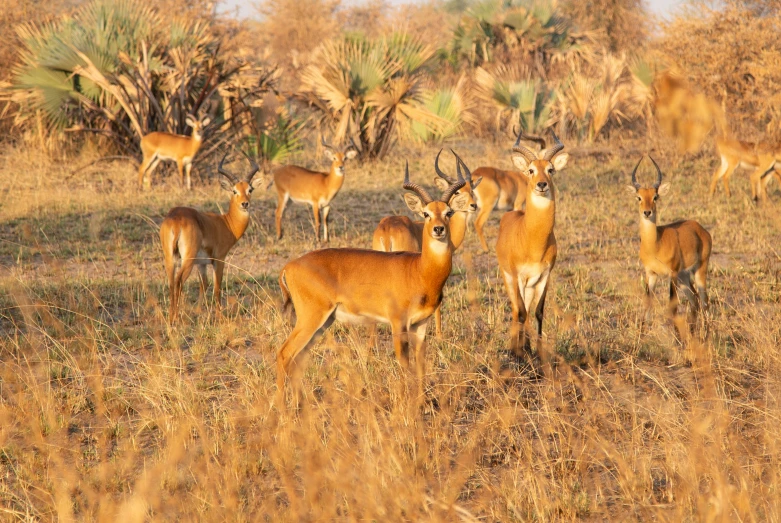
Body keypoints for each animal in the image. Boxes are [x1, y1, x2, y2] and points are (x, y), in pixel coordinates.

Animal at [159, 150, 262, 324]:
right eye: (234, 191)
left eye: (250, 189)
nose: (245, 204)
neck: (226, 223)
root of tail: (176, 219)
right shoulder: (219, 259)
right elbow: (217, 287)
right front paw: (220, 316)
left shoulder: (202, 263)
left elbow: (204, 284)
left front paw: (199, 311)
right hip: (187, 259)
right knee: (179, 281)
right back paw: (176, 318)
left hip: (170, 257)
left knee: (171, 282)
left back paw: (171, 317)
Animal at [276, 158, 470, 396]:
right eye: (426, 213)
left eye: (448, 212)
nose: (438, 229)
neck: (419, 271)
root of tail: (289, 266)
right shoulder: (398, 323)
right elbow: (404, 364)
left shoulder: (421, 325)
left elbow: (421, 365)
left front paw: (421, 401)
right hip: (311, 318)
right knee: (284, 354)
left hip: (323, 323)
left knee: (297, 359)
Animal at [496, 129, 568, 354]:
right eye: (530, 170)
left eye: (550, 169)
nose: (541, 184)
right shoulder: (518, 276)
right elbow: (520, 312)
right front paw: (518, 353)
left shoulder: (545, 276)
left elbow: (537, 312)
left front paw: (537, 351)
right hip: (509, 279)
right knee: (515, 309)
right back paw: (515, 347)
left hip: (530, 284)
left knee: (527, 309)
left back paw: (525, 345)